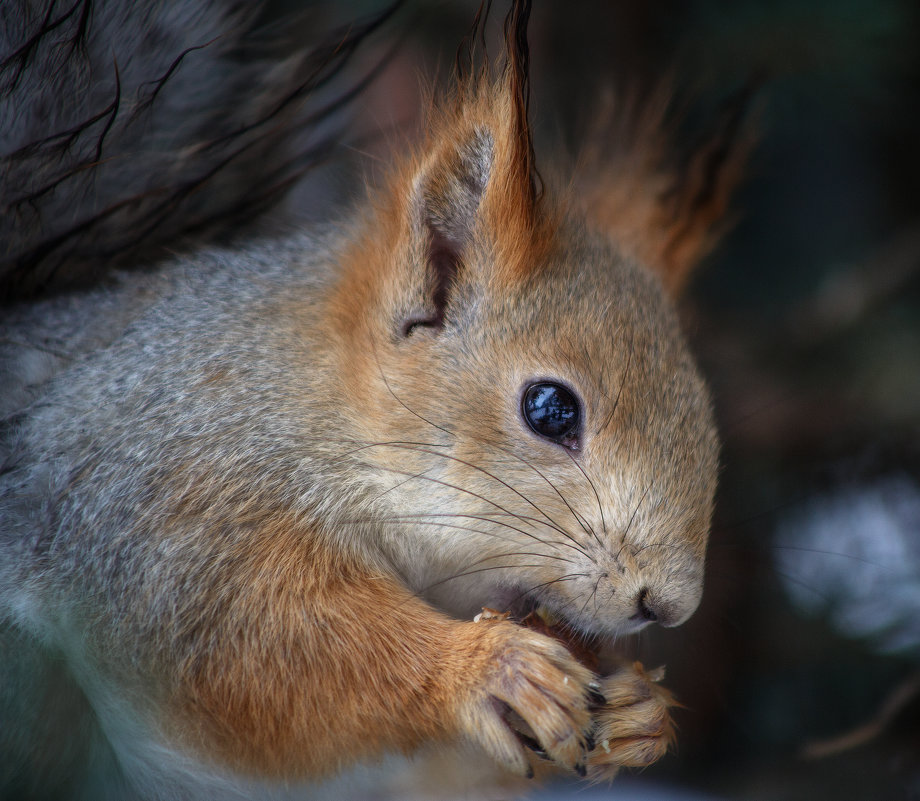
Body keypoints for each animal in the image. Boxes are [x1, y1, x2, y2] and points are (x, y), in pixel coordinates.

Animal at [0, 0, 748, 792]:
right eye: (551, 410)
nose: (668, 604)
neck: (314, 402)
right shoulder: (174, 503)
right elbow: (254, 643)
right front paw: (485, 668)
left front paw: (641, 710)